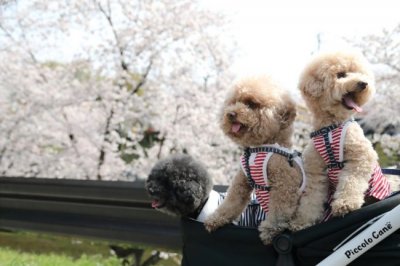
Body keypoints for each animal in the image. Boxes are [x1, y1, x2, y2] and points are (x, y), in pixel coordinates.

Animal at [203, 76, 306, 244]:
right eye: (234, 102)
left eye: (251, 104)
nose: (230, 114)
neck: (260, 148)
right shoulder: (241, 182)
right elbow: (231, 202)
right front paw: (215, 219)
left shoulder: (285, 183)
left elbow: (280, 208)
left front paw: (270, 229)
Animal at [290, 50, 396, 231]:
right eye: (340, 75)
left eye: (359, 73)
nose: (363, 83)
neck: (330, 128)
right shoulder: (316, 171)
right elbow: (311, 200)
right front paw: (301, 223)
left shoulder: (359, 157)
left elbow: (351, 182)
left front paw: (345, 204)